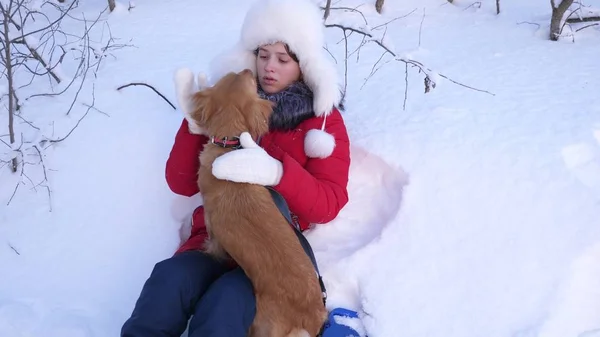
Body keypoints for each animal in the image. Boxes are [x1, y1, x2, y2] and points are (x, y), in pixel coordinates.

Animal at [189, 69, 326, 336]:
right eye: (233, 75)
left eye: (251, 81)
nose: (248, 70)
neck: (229, 148)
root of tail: (314, 315)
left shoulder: (212, 226)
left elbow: (212, 245)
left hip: (262, 322)